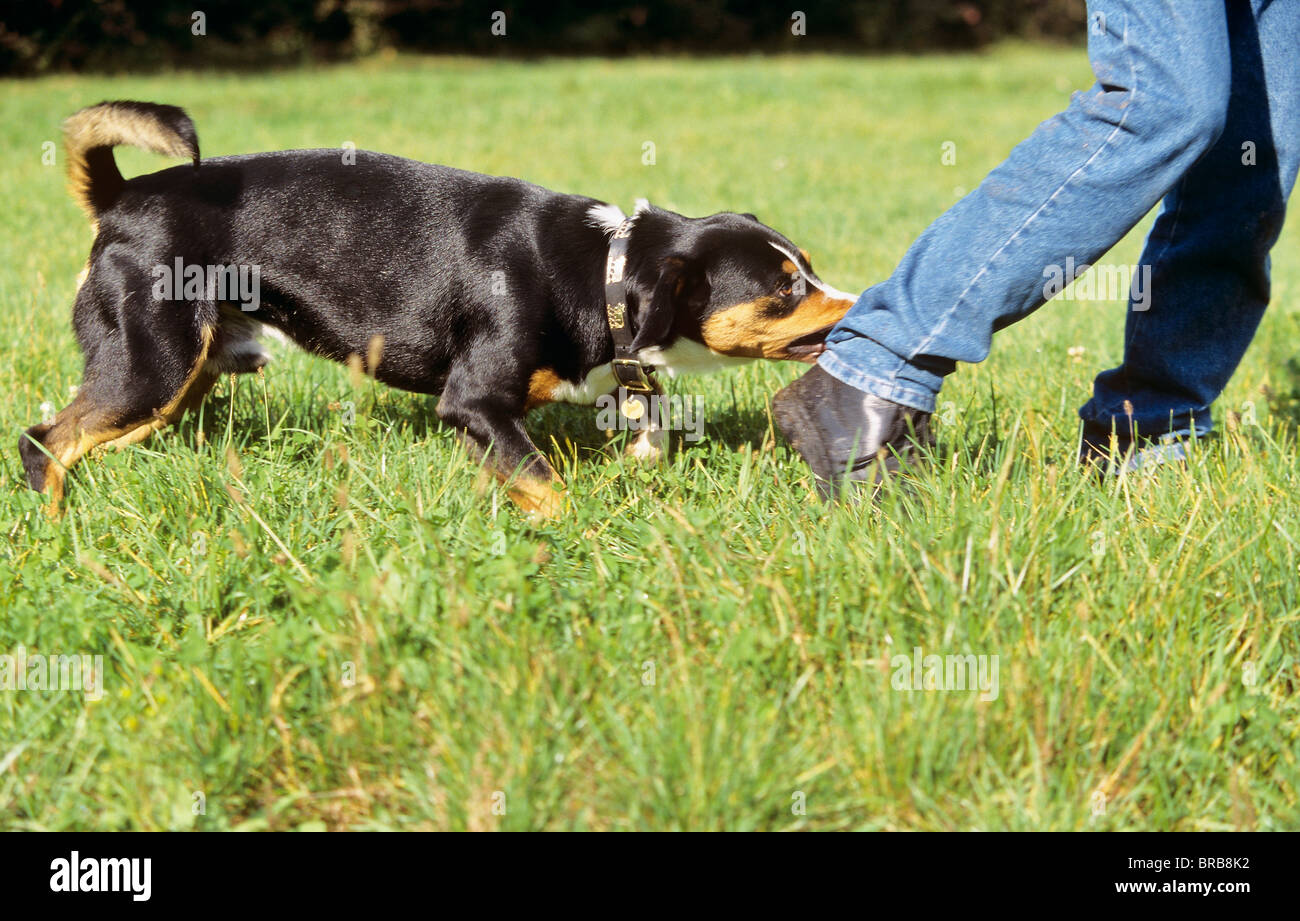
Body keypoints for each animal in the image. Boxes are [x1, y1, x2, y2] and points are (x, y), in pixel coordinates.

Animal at [20, 102, 857, 517]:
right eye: (786, 288)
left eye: (808, 268)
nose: (855, 303)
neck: (603, 270)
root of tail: (124, 196)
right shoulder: (474, 401)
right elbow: (552, 491)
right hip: (151, 365)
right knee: (43, 442)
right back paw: (57, 532)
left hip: (176, 378)